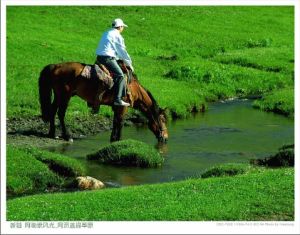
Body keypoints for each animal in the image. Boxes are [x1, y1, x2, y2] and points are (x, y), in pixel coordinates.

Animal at [37, 61, 169, 142]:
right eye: (163, 120)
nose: (166, 138)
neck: (133, 88)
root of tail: (55, 66)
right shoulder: (123, 107)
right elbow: (120, 122)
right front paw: (119, 140)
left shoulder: (116, 107)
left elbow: (115, 122)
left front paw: (113, 139)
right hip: (65, 96)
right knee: (61, 113)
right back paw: (67, 136)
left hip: (58, 95)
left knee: (53, 111)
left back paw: (52, 133)